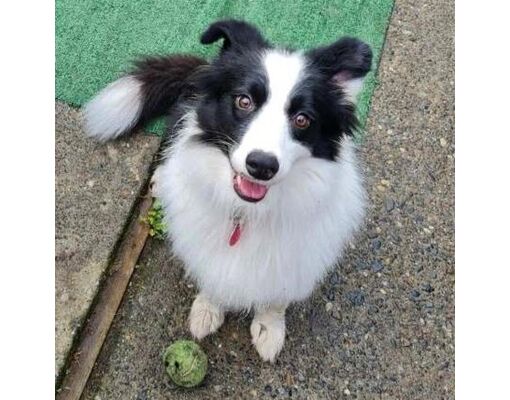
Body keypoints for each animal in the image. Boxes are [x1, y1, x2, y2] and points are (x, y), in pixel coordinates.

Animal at [82, 19, 370, 362]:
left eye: (303, 119)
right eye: (244, 101)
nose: (261, 165)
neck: (247, 211)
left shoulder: (295, 257)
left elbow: (277, 297)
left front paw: (269, 329)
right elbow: (213, 275)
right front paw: (207, 311)